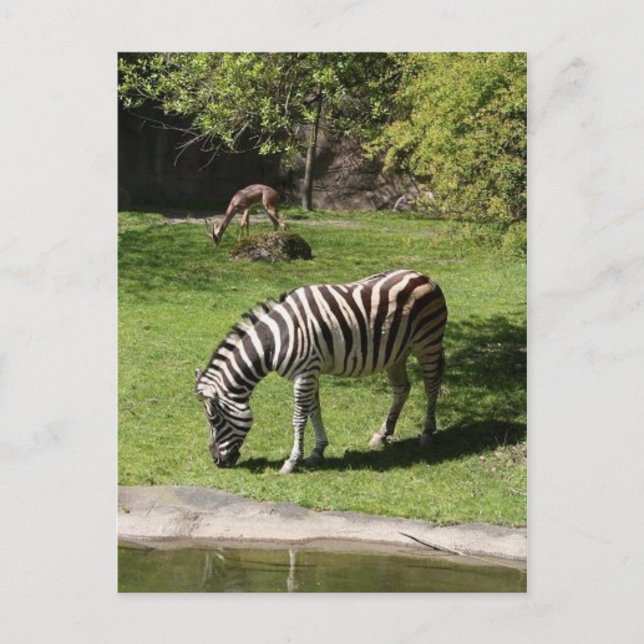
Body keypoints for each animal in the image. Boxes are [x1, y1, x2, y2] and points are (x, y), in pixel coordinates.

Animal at [195, 269, 448, 474]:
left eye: (213, 419)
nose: (216, 461)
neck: (275, 339)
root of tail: (423, 276)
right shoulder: (311, 372)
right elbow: (314, 412)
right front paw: (317, 452)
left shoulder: (304, 375)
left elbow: (298, 418)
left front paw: (291, 462)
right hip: (396, 353)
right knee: (402, 389)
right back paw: (383, 433)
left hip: (428, 342)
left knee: (431, 386)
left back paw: (427, 433)